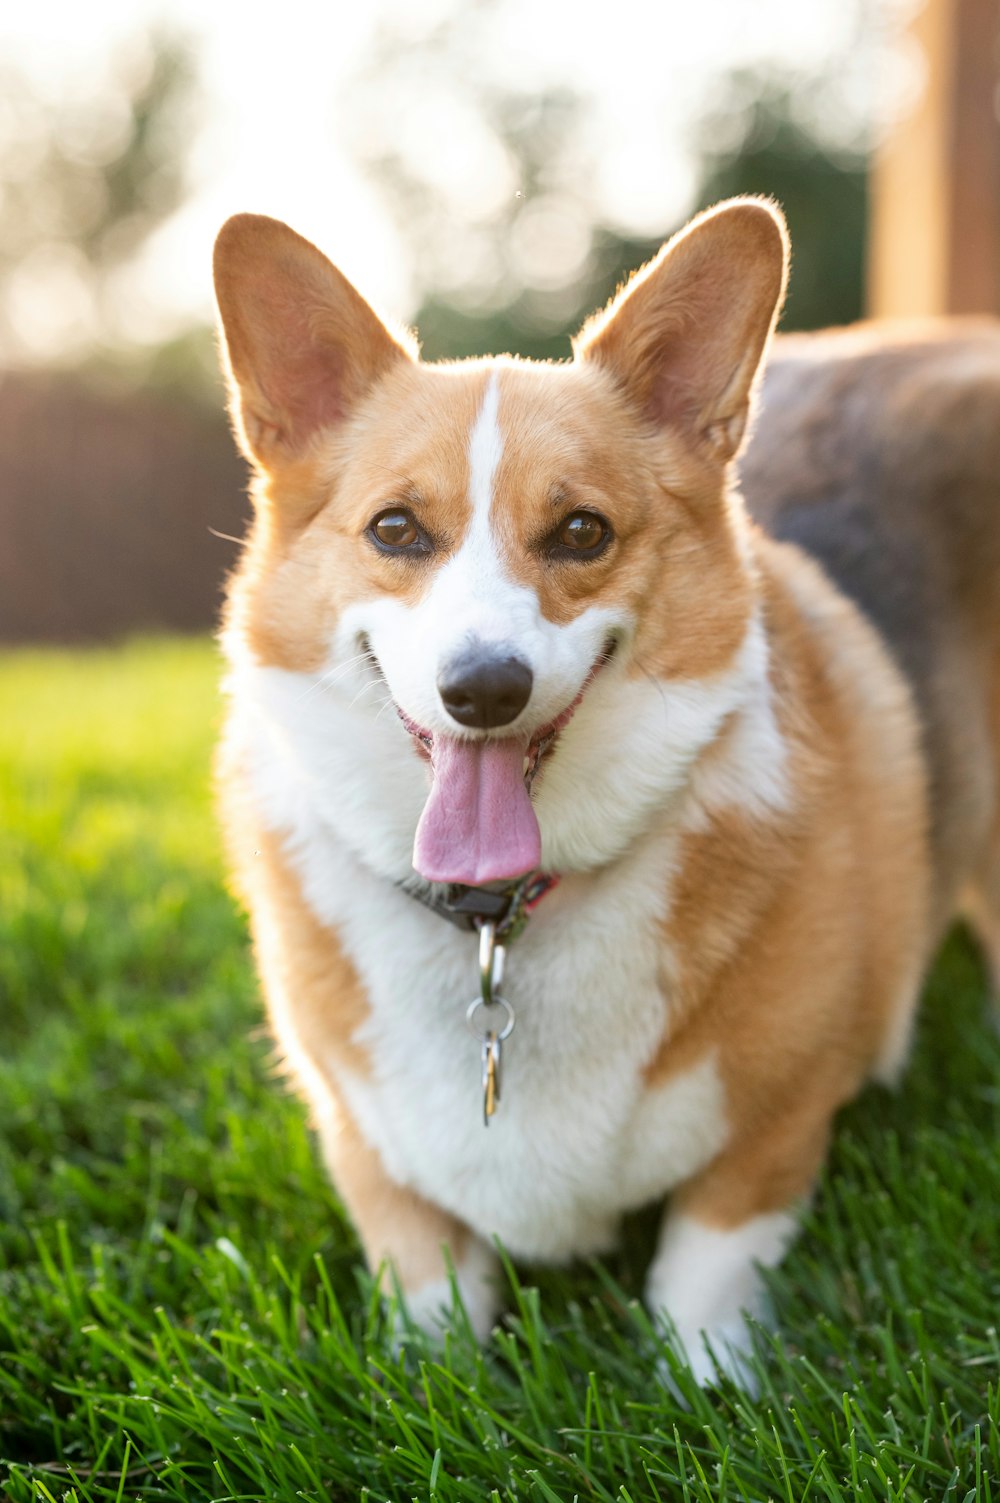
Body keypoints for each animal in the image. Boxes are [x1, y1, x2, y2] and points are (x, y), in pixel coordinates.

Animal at [212, 199, 998, 1382]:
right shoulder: (364, 1143)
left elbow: (703, 1271)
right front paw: (431, 1380)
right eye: (395, 528)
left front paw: (707, 1387)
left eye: (581, 530)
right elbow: (424, 1282)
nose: (484, 689)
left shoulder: (771, 1133)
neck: (500, 923)